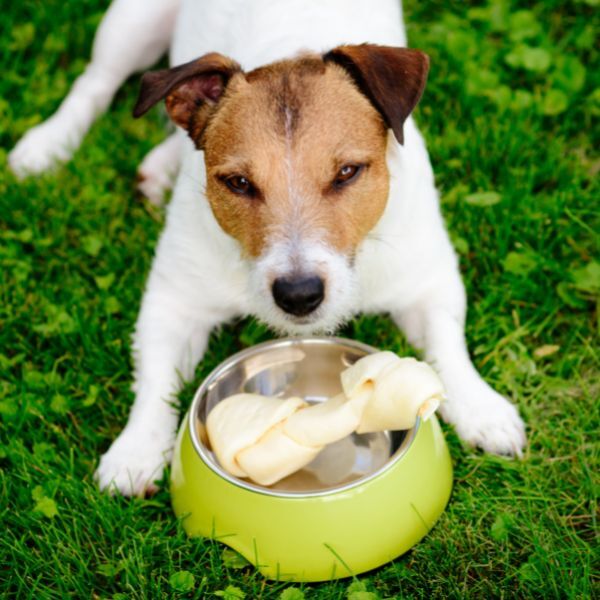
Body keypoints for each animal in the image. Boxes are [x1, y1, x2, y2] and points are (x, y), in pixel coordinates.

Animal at [9, 0, 524, 496]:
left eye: (347, 172)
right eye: (238, 182)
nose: (299, 295)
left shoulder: (426, 281)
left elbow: (447, 344)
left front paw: (482, 410)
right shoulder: (172, 301)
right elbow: (156, 380)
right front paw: (135, 451)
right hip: (132, 23)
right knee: (95, 82)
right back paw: (47, 145)